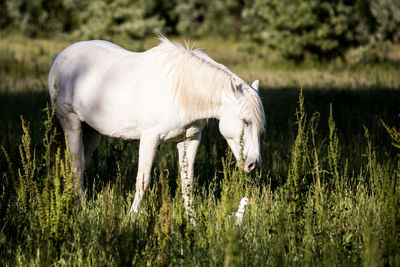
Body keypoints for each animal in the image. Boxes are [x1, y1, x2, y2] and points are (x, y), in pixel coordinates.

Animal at [47, 36, 266, 216]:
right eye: (246, 121)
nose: (253, 164)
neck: (179, 91)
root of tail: (60, 56)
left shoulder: (190, 140)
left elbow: (187, 184)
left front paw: (192, 224)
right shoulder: (150, 138)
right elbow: (142, 182)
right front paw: (131, 220)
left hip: (91, 131)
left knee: (82, 163)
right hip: (72, 123)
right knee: (76, 166)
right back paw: (81, 209)